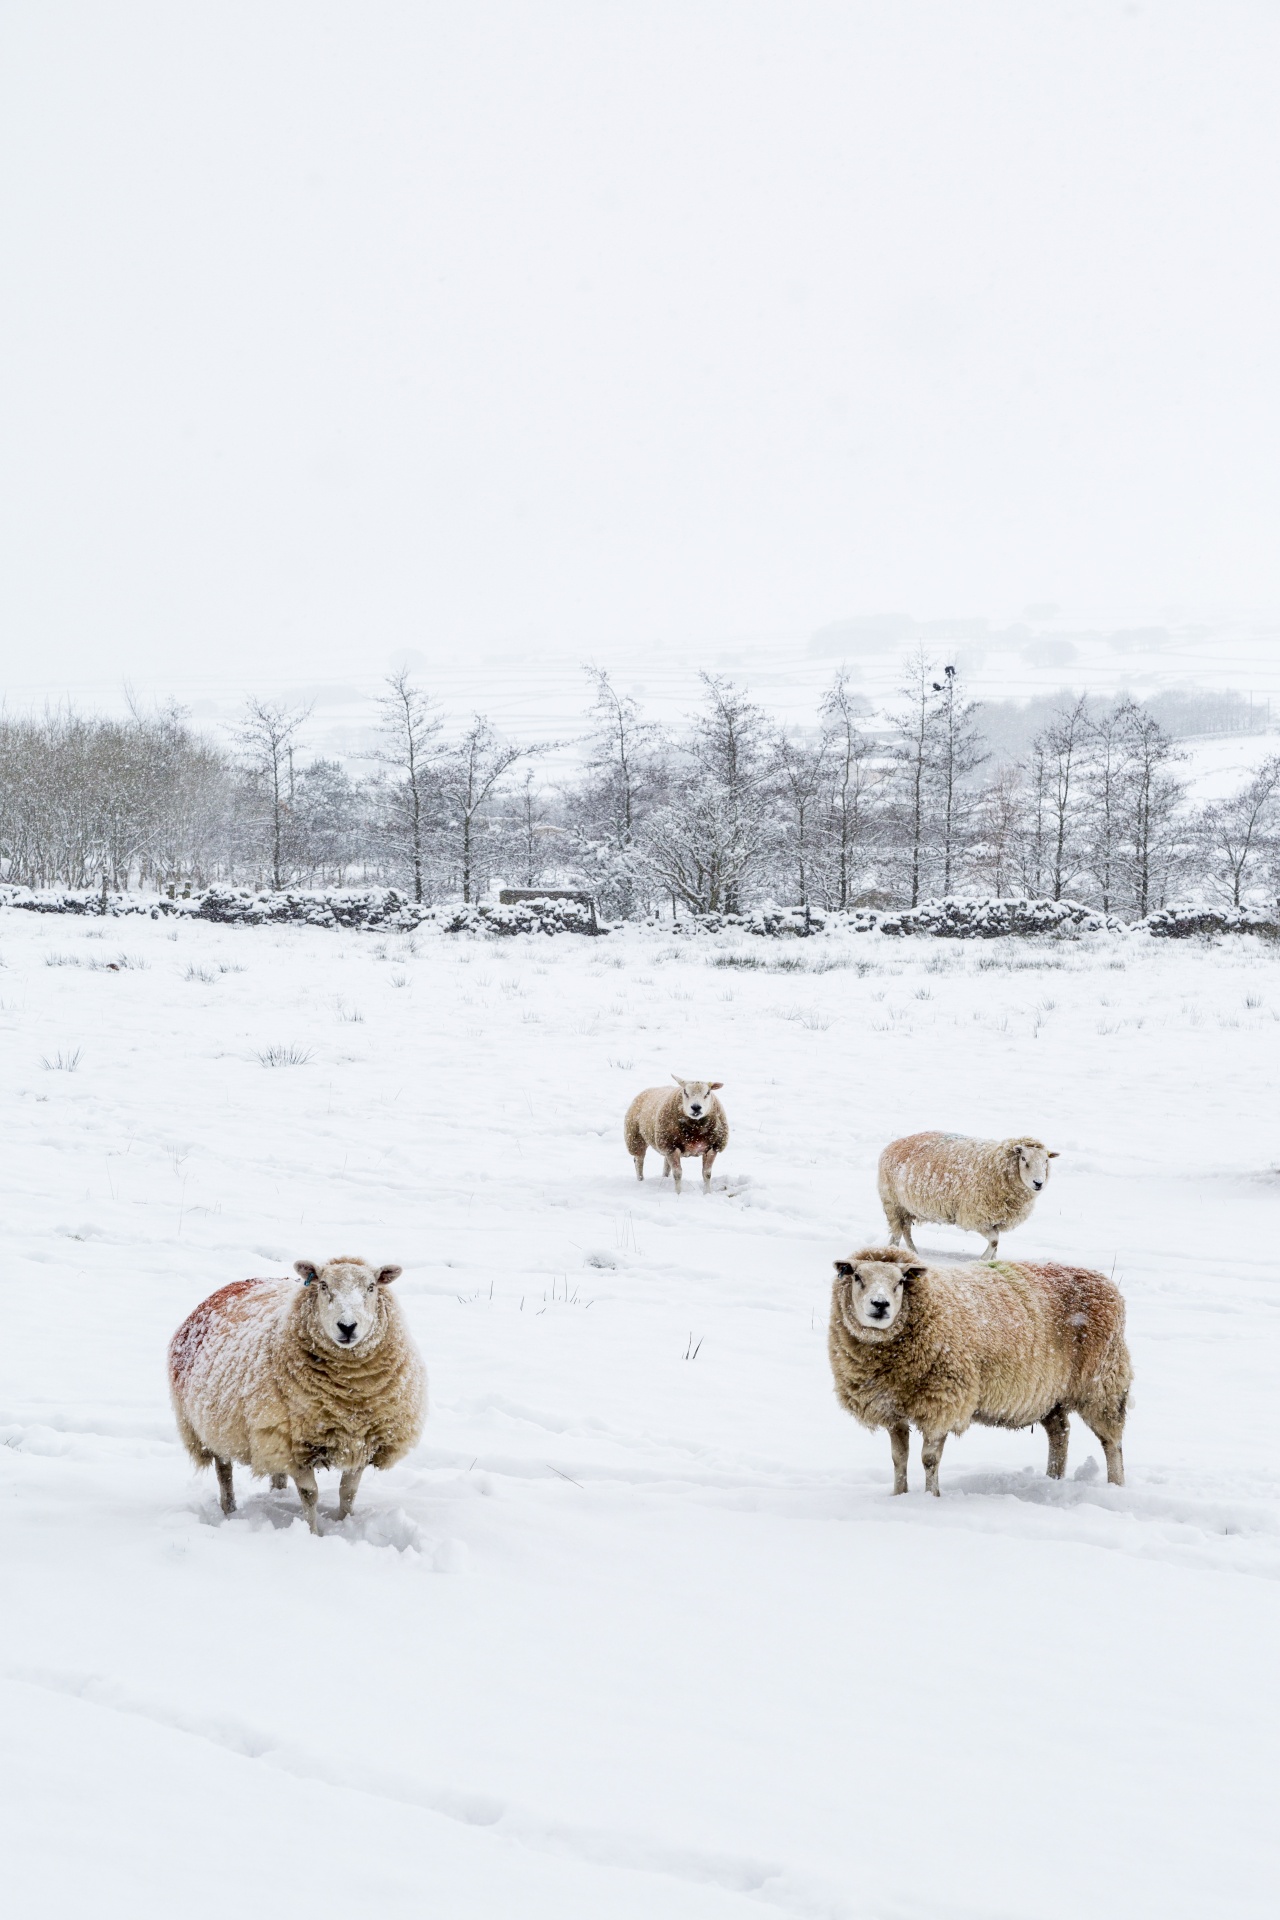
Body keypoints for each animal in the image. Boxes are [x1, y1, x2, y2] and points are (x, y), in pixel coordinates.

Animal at [167, 1251, 427, 1536]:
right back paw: (229, 1510)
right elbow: (309, 1494)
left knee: (276, 1474)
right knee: (224, 1471)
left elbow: (348, 1492)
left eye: (371, 1287)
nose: (347, 1326)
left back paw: (276, 1496)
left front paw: (345, 1523)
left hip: (266, 1432)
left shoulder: (364, 1440)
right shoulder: (295, 1447)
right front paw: (313, 1533)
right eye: (323, 1285)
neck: (349, 1395)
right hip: (211, 1428)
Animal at [825, 1244, 1128, 1497]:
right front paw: (899, 1495)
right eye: (857, 1277)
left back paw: (1115, 1485)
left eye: (900, 1281)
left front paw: (930, 1497)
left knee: (1111, 1440)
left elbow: (929, 1459)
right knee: (1060, 1432)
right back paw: (1052, 1478)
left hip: (1102, 1383)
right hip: (1049, 1394)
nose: (880, 1305)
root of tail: (1107, 1284)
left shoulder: (944, 1401)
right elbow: (899, 1458)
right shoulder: (891, 1408)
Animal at [875, 1121, 1059, 1259]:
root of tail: (893, 1144)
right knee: (899, 1231)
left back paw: (909, 1252)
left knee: (905, 1230)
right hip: (893, 1202)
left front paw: (992, 1262)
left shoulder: (996, 1220)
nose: (1038, 1183)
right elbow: (994, 1241)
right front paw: (983, 1259)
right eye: (1024, 1159)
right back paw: (898, 1252)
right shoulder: (976, 1217)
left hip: (906, 1207)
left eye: (1046, 1161)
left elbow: (996, 1243)